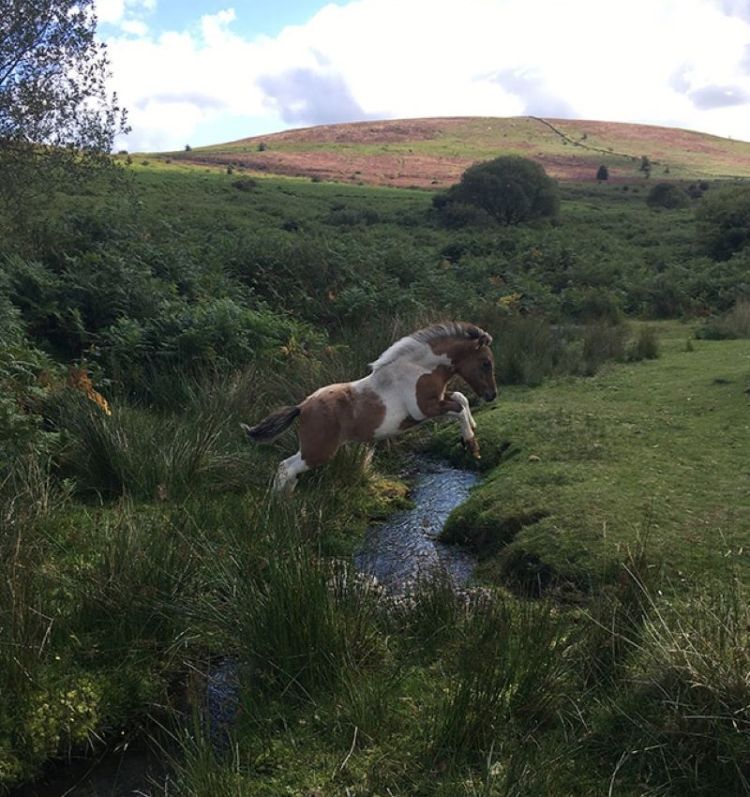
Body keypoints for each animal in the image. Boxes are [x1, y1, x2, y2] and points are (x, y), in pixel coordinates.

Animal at [242, 324, 500, 492]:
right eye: (485, 363)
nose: (491, 395)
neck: (418, 369)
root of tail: (301, 407)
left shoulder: (437, 402)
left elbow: (461, 398)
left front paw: (472, 428)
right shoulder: (425, 409)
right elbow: (458, 407)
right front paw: (472, 445)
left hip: (311, 449)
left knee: (287, 470)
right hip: (318, 451)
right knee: (286, 468)